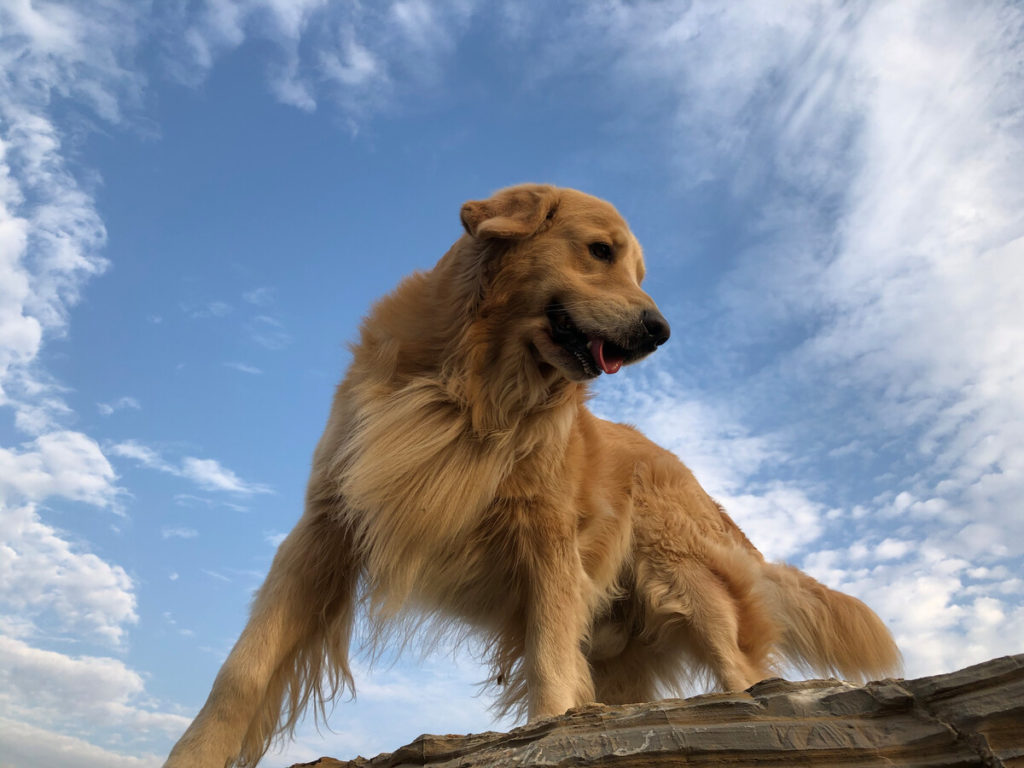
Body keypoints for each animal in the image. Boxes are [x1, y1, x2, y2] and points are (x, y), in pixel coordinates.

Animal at [163, 185, 901, 768]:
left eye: (637, 270)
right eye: (600, 252)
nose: (660, 330)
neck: (475, 385)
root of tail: (688, 471)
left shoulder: (548, 544)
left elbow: (549, 660)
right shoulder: (326, 525)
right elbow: (242, 668)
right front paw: (195, 754)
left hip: (688, 585)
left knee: (742, 675)